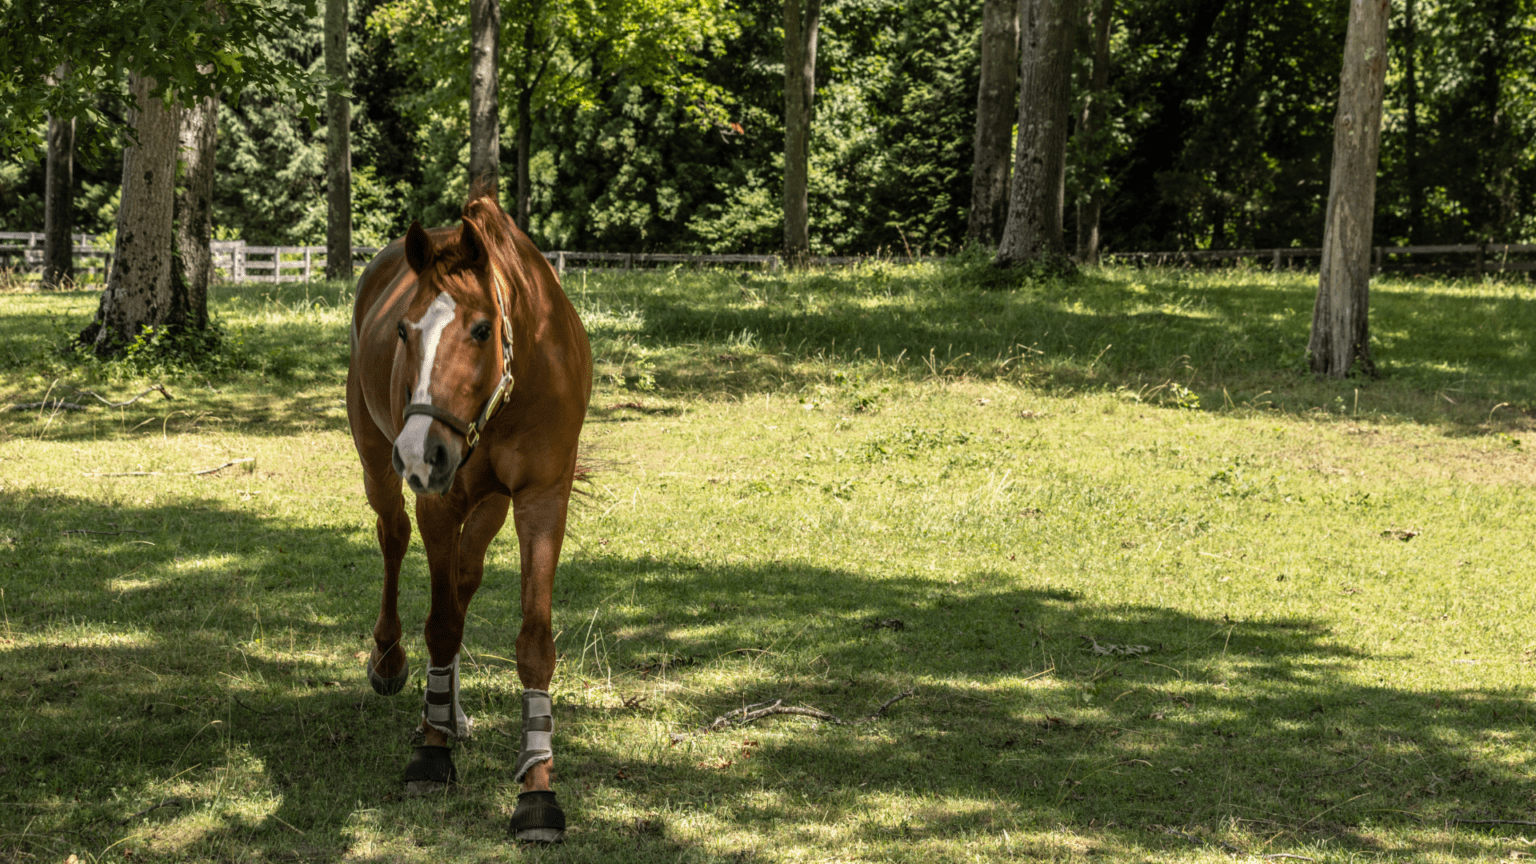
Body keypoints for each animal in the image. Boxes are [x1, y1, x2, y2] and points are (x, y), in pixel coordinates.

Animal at [345, 189, 589, 842]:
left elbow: (532, 642)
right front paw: (431, 752)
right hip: (379, 463)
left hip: (488, 505)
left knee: (462, 577)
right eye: (403, 330)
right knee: (394, 538)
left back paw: (451, 712)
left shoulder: (540, 500)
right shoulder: (439, 498)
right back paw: (392, 663)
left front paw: (537, 785)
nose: (420, 451)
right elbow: (441, 625)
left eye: (482, 329)